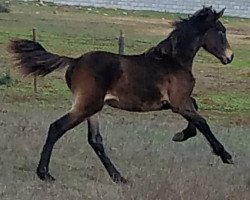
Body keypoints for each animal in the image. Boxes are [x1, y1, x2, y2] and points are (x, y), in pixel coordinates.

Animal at [8, 6, 234, 184]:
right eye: (221, 31)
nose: (230, 57)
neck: (173, 61)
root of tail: (74, 61)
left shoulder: (177, 102)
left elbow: (196, 113)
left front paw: (180, 135)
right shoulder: (179, 102)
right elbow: (202, 122)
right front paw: (225, 155)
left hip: (93, 108)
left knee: (95, 140)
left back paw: (119, 177)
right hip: (87, 106)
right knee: (57, 128)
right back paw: (44, 174)